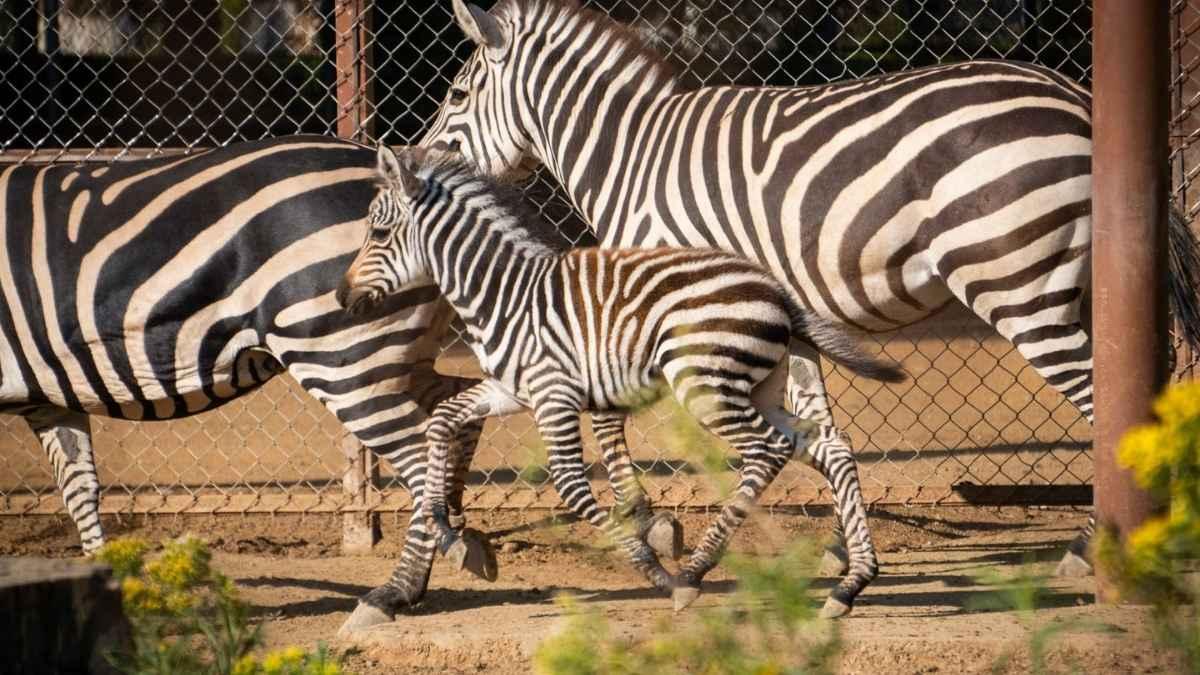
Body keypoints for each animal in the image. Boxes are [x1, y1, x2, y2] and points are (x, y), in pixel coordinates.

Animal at [0, 135, 683, 629]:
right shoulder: (49, 397)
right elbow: (80, 489)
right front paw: (104, 590)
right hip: (394, 352)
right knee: (452, 416)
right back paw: (457, 538)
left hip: (339, 354)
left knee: (416, 452)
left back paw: (396, 590)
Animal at [338, 145, 905, 616]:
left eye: (379, 234)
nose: (342, 299)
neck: (506, 295)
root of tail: (774, 288)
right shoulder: (512, 391)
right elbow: (441, 420)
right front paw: (446, 528)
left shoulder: (555, 396)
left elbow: (571, 485)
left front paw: (661, 577)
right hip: (756, 389)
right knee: (828, 446)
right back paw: (851, 584)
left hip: (706, 386)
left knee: (768, 452)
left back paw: (694, 572)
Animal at [419, 0, 1200, 577]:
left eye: (456, 93)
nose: (414, 162)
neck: (632, 158)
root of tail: (1076, 94)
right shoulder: (770, 318)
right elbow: (823, 430)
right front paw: (844, 552)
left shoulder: (660, 301)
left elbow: (614, 417)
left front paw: (649, 522)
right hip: (1081, 288)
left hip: (1015, 282)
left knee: (1108, 405)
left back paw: (1094, 548)